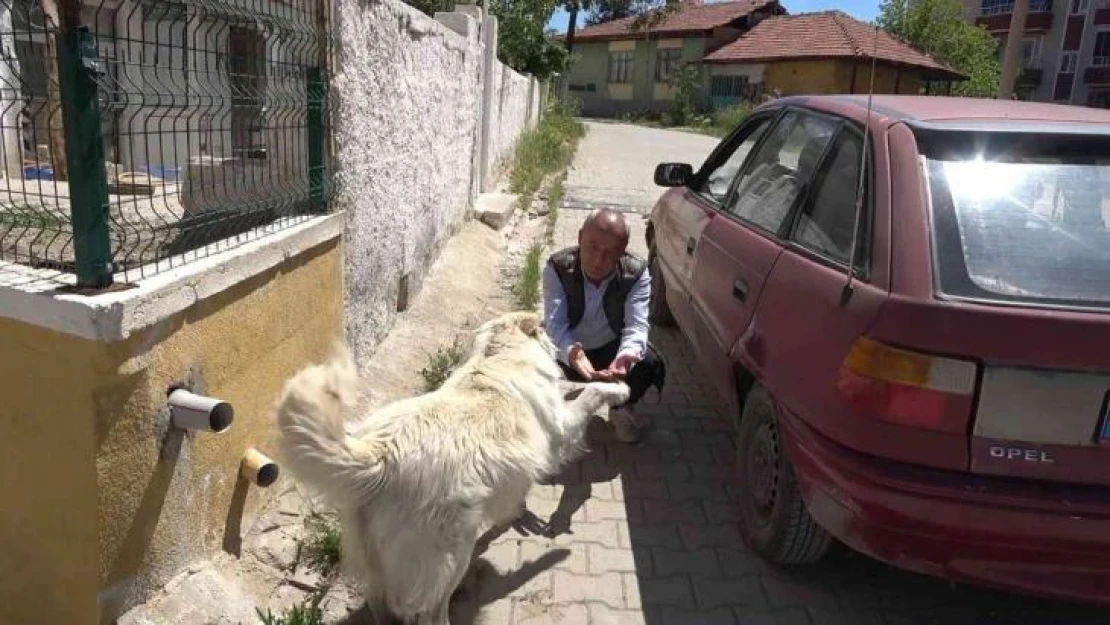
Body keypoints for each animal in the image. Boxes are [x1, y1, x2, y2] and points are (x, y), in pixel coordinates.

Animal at [274, 310, 630, 621]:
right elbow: (591, 392)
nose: (559, 337)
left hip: (374, 559)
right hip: (451, 552)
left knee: (380, 604)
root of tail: (380, 455)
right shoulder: (561, 428)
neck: (497, 356)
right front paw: (618, 388)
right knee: (430, 611)